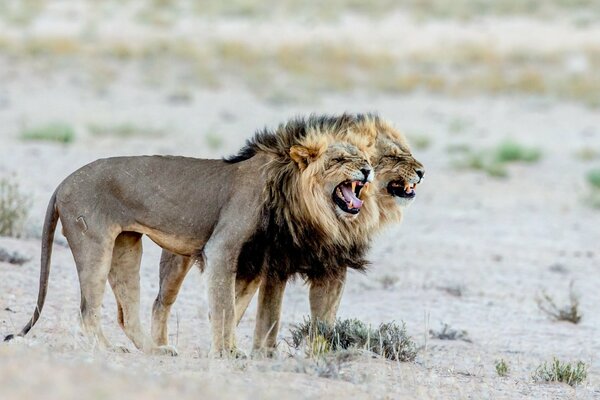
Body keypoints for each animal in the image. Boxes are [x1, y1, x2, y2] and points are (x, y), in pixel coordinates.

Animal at [4, 116, 378, 356]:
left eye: (362, 157)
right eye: (340, 159)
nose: (367, 170)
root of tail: (62, 183)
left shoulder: (254, 261)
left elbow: (234, 307)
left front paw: (227, 348)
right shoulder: (223, 247)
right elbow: (225, 306)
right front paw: (230, 352)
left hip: (126, 246)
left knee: (127, 311)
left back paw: (155, 350)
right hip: (94, 243)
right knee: (87, 309)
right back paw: (108, 349)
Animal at [152, 112, 424, 354]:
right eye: (392, 156)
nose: (422, 172)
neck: (328, 219)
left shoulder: (332, 266)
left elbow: (324, 320)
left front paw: (321, 354)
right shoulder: (276, 262)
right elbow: (270, 315)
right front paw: (265, 354)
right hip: (178, 262)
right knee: (162, 303)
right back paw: (161, 347)